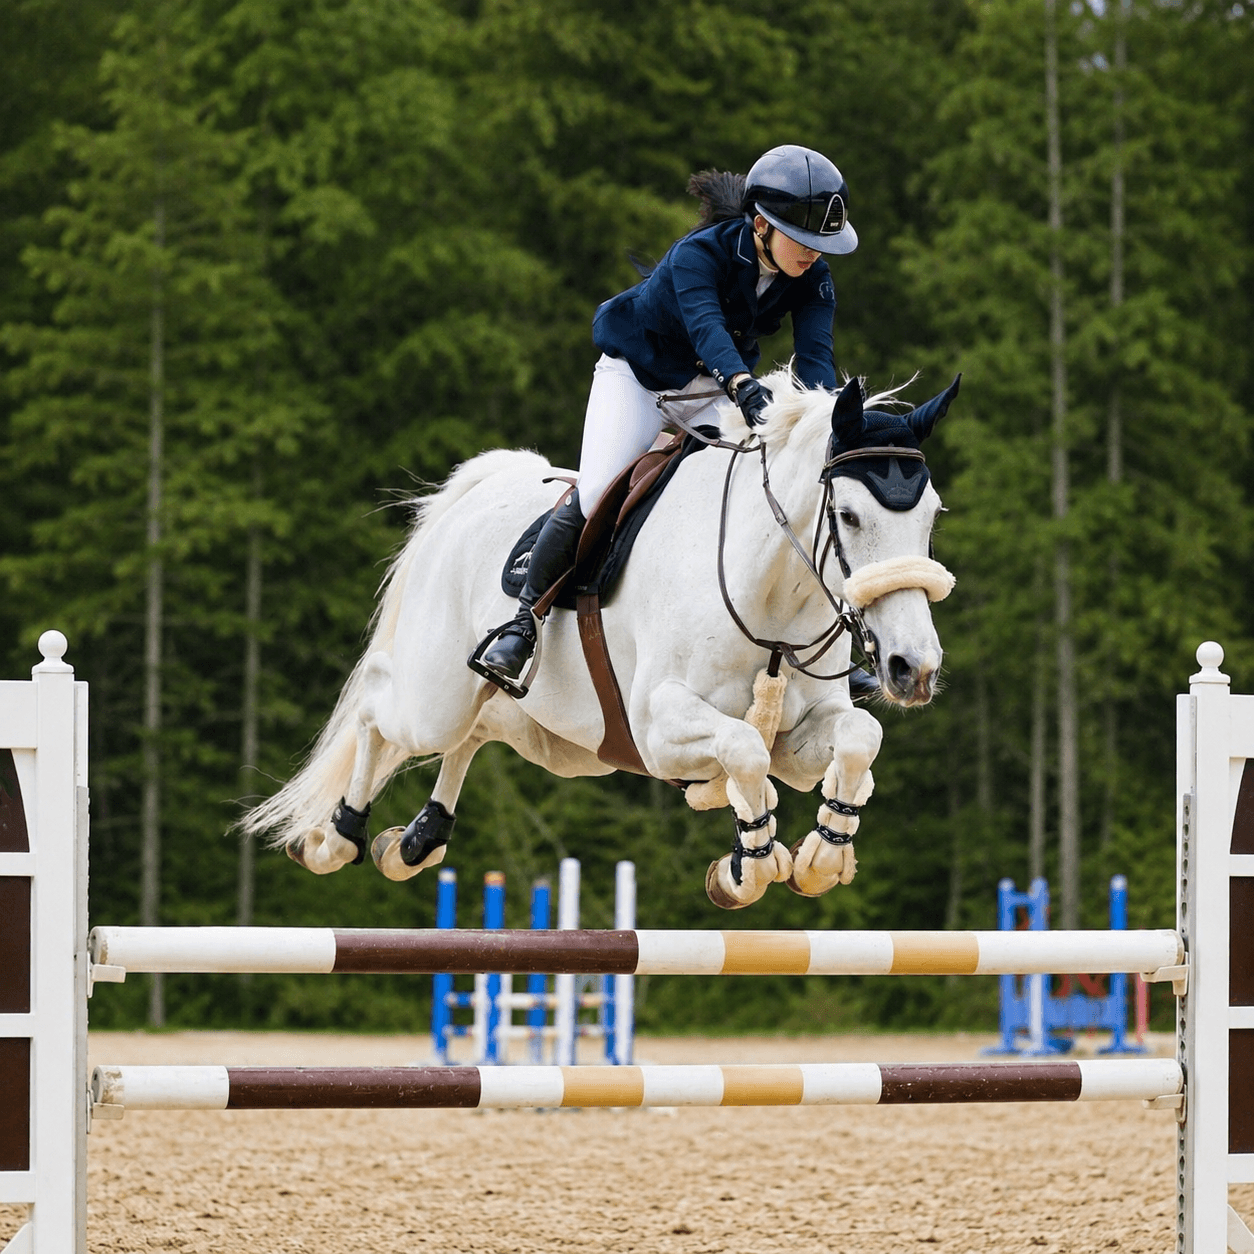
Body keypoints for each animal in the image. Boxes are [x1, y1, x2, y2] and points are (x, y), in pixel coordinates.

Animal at [240, 367, 960, 909]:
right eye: (849, 516)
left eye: (931, 515)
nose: (913, 669)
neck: (772, 593)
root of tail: (478, 490)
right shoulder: (659, 729)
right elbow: (743, 750)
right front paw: (750, 864)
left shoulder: (804, 734)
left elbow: (855, 737)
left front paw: (821, 855)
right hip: (436, 699)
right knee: (377, 706)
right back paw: (335, 838)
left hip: (558, 741)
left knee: (480, 728)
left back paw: (417, 838)